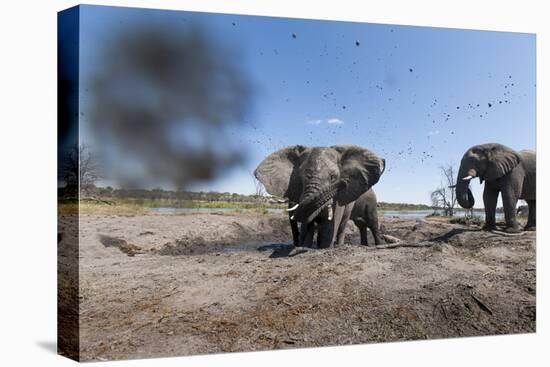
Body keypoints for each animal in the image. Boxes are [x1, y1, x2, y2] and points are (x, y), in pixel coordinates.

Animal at [256, 145, 386, 249]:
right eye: (301, 176)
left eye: (333, 177)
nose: (344, 182)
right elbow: (308, 223)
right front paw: (306, 246)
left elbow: (331, 224)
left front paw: (324, 247)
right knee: (361, 225)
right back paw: (363, 245)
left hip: (370, 203)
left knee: (370, 224)